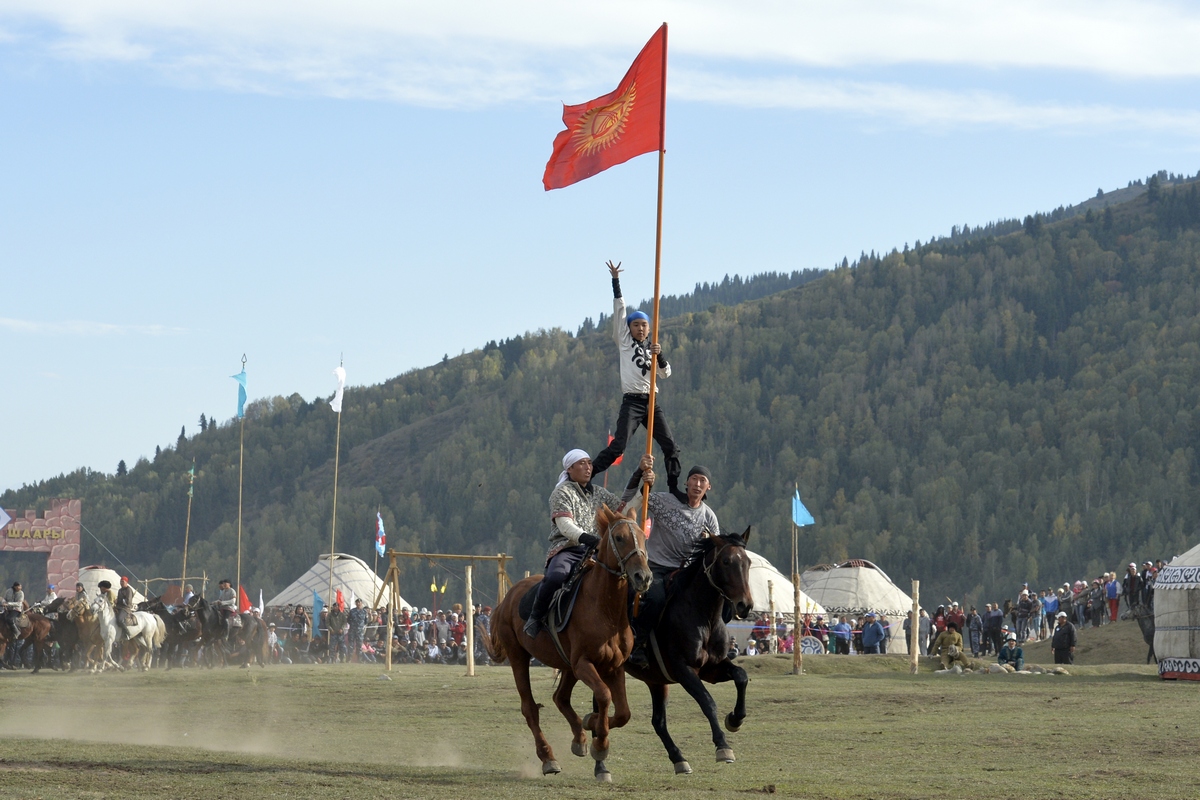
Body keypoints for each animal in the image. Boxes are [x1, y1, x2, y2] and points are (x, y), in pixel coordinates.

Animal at [487, 506, 652, 782]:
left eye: (642, 536)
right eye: (619, 538)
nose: (643, 577)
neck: (604, 609)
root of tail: (506, 600)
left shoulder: (614, 667)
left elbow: (623, 713)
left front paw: (591, 723)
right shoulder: (584, 663)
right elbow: (604, 695)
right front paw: (600, 743)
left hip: (566, 666)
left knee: (560, 698)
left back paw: (579, 738)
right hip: (519, 657)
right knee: (530, 707)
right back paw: (548, 758)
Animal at [624, 527, 753, 772]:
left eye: (748, 562)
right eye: (726, 561)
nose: (745, 605)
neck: (703, 615)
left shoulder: (712, 669)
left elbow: (741, 676)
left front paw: (735, 719)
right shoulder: (683, 670)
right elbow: (707, 701)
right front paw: (723, 746)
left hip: (655, 681)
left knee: (658, 721)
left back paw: (679, 759)